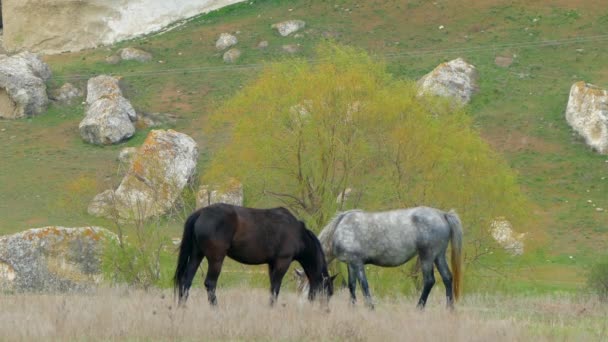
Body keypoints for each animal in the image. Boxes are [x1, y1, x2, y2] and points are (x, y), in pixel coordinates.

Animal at [173, 204, 334, 306]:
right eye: (327, 292)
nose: (325, 311)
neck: (297, 233)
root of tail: (201, 213)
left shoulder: (272, 264)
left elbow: (272, 287)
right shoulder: (283, 262)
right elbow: (276, 287)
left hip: (196, 255)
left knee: (186, 281)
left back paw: (182, 307)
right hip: (216, 259)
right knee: (210, 283)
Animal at [296, 206, 464, 310]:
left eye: (303, 284)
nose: (302, 305)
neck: (339, 229)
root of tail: (443, 214)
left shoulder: (357, 262)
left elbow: (364, 285)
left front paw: (370, 307)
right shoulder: (350, 263)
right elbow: (352, 285)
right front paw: (352, 307)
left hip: (427, 256)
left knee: (429, 281)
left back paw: (419, 308)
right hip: (438, 256)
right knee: (447, 278)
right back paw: (449, 309)